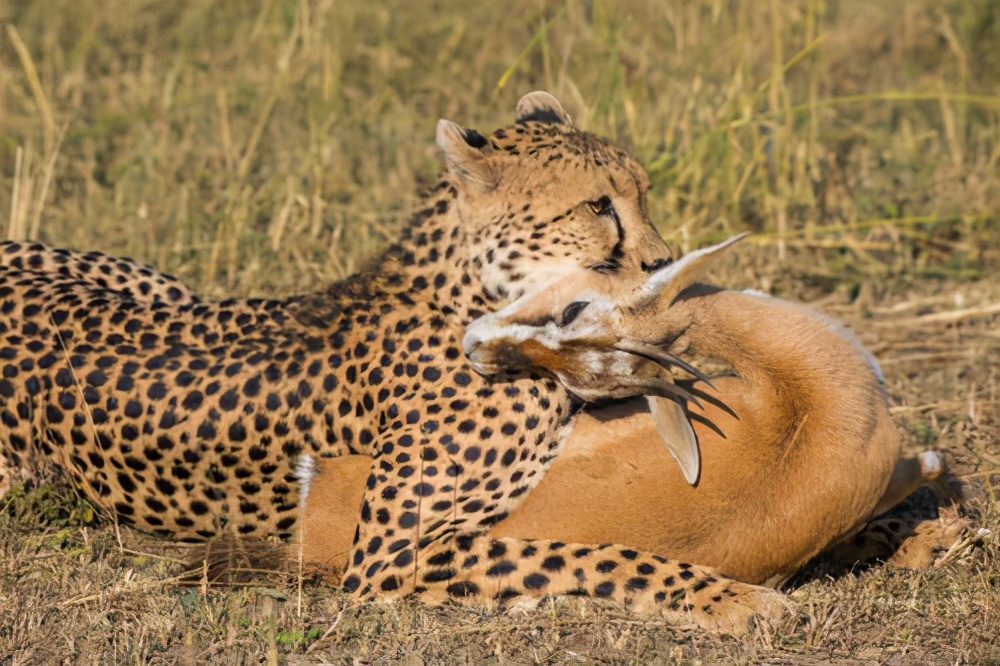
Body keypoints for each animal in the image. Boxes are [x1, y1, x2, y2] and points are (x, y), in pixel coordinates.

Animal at [0, 91, 780, 632]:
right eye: (598, 206)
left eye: (642, 193)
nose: (659, 260)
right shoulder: (383, 559)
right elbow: (587, 553)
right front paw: (729, 595)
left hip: (164, 285)